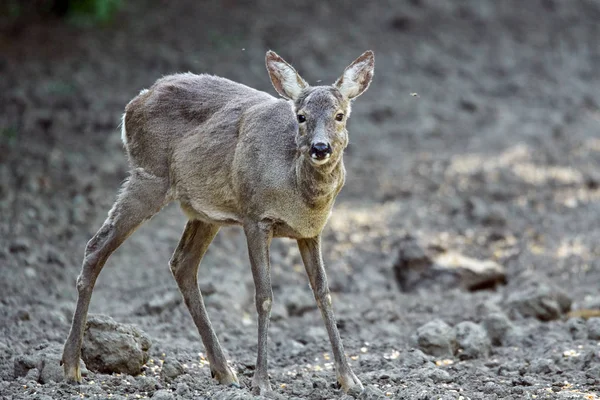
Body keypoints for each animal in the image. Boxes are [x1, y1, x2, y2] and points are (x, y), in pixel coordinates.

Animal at [63, 49, 378, 394]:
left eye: (339, 115)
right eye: (301, 116)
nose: (320, 148)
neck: (298, 191)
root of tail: (134, 103)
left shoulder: (311, 231)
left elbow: (323, 294)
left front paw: (350, 379)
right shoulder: (255, 217)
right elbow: (264, 297)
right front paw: (262, 382)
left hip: (202, 210)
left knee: (181, 264)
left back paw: (224, 371)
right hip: (149, 177)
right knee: (96, 247)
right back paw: (71, 367)